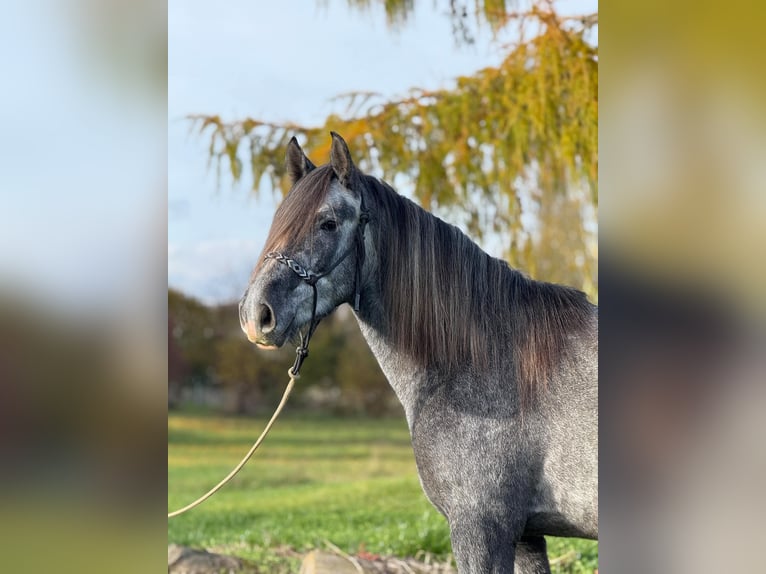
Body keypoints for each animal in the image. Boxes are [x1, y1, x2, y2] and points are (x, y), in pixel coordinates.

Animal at [239, 133, 598, 573]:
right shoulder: (527, 537)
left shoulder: (482, 529)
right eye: (278, 221)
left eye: (328, 223)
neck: (494, 359)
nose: (256, 315)